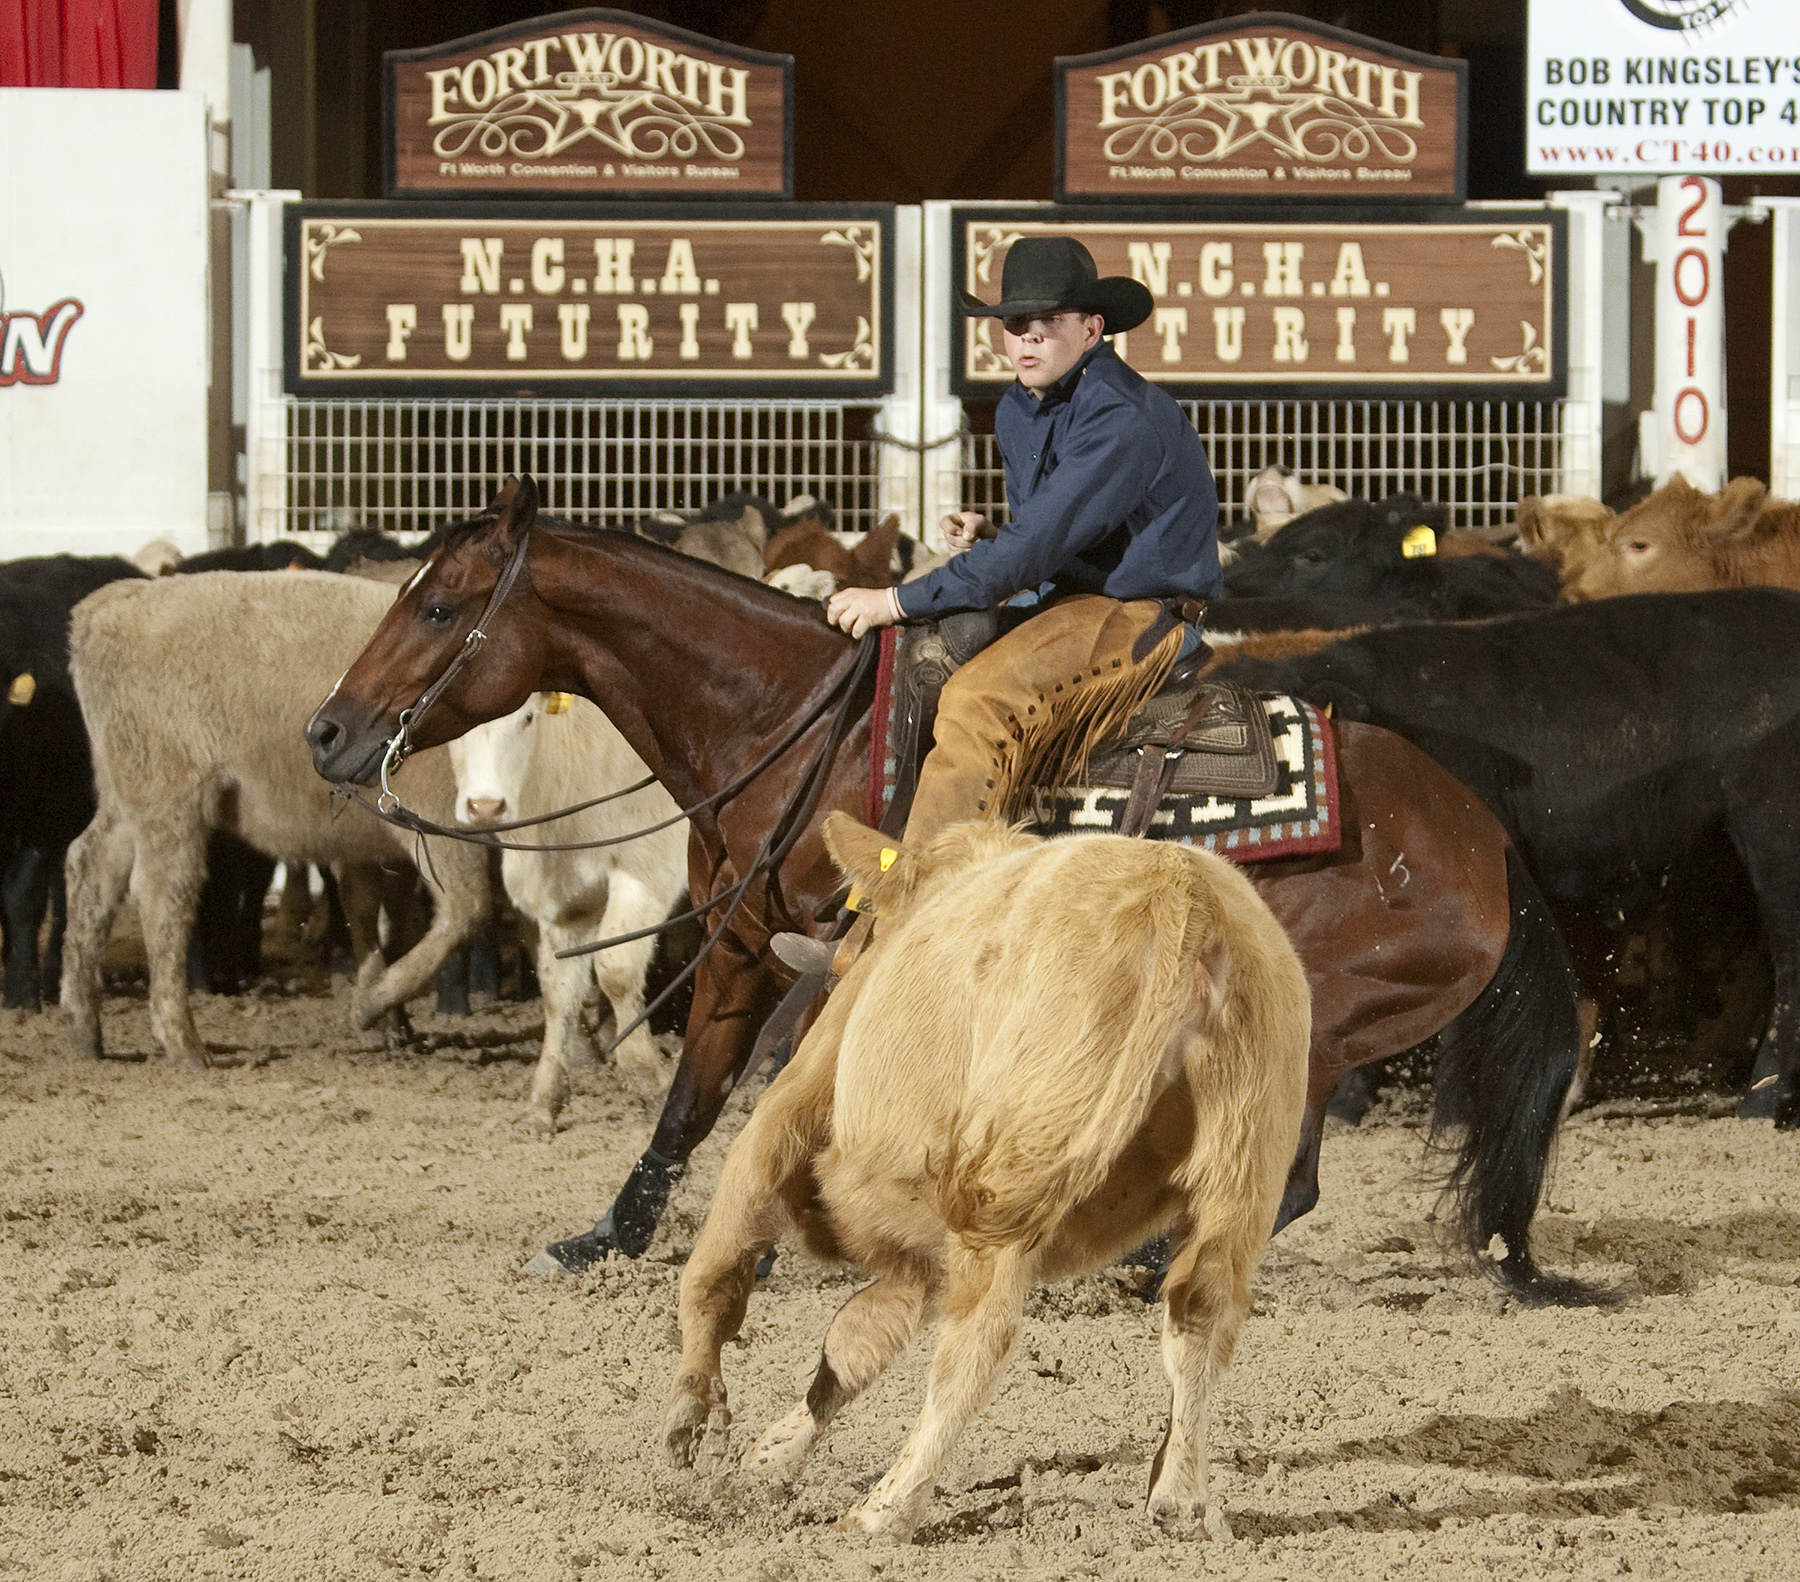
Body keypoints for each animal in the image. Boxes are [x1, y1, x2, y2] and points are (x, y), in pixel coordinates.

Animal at [63, 568, 489, 1065]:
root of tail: (113, 604)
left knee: (91, 869)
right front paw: (370, 1006)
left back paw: (84, 1027)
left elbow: (388, 920)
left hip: (125, 793)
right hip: (168, 799)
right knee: (163, 897)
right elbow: (464, 911)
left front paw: (392, 1021)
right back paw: (182, 1041)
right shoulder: (440, 822)